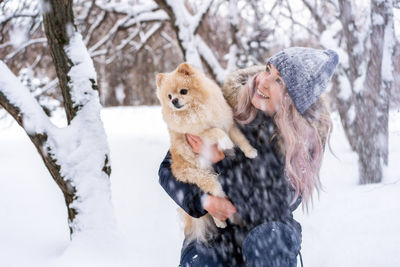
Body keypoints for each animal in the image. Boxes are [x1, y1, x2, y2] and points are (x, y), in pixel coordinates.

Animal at [155, 62, 256, 243]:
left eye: (183, 91)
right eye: (169, 96)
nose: (174, 101)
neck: (195, 109)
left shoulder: (228, 123)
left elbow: (240, 138)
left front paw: (251, 151)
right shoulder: (198, 134)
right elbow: (215, 131)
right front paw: (226, 142)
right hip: (204, 177)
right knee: (214, 198)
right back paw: (221, 221)